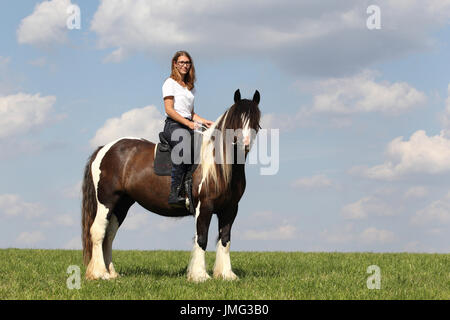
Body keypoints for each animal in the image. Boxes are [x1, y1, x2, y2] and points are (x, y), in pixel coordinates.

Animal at [81, 89, 260, 282]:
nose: (244, 144)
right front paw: (200, 275)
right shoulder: (204, 207)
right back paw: (99, 273)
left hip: (121, 204)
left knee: (109, 235)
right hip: (106, 201)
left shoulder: (230, 209)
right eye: (236, 119)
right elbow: (201, 238)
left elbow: (225, 239)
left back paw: (112, 273)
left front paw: (226, 274)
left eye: (255, 119)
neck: (218, 165)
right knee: (98, 232)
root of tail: (104, 149)